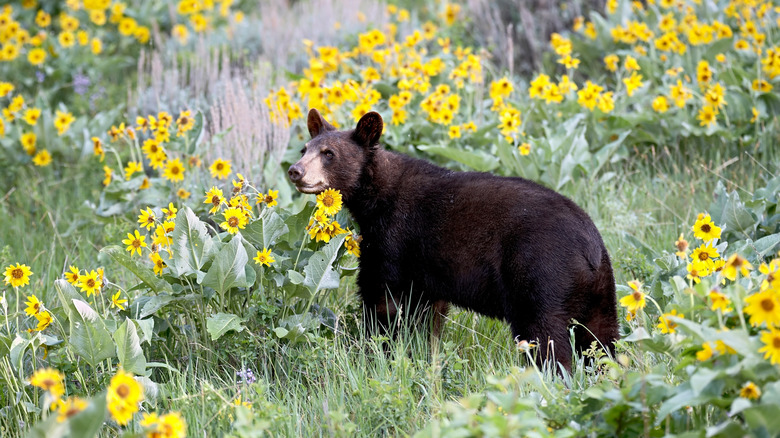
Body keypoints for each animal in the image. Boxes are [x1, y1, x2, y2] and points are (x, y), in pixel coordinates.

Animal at [288, 108, 619, 372]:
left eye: (328, 154)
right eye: (304, 149)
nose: (295, 170)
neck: (376, 199)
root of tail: (590, 248)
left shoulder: (395, 239)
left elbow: (383, 299)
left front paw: (377, 353)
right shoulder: (426, 275)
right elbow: (428, 318)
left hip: (541, 273)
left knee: (546, 336)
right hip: (601, 292)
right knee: (601, 340)